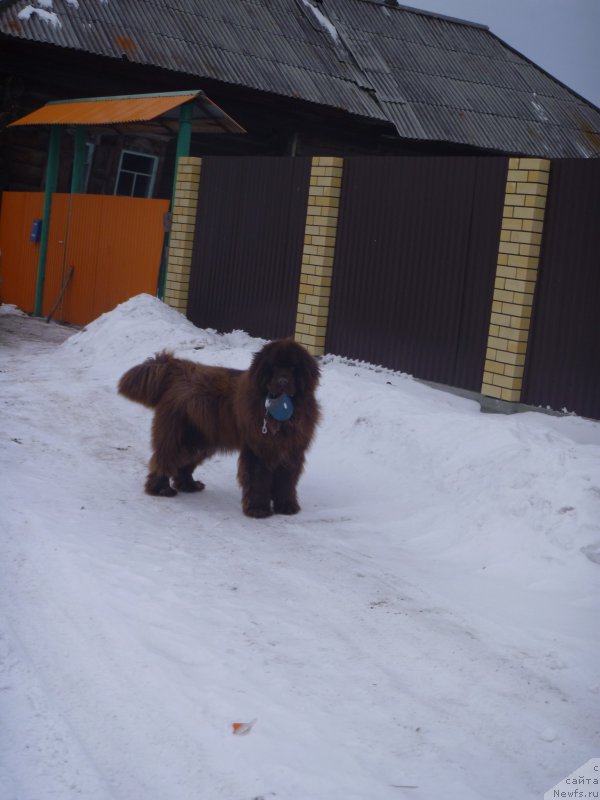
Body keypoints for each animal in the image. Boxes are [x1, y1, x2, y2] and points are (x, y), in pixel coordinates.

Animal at [119, 340, 322, 520]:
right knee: (165, 458)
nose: (283, 380)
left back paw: (188, 485)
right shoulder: (258, 450)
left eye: (293, 368)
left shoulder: (291, 451)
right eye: (274, 367)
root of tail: (178, 368)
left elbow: (286, 481)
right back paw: (160, 488)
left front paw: (286, 506)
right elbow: (258, 479)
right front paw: (258, 509)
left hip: (199, 440)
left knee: (184, 463)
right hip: (179, 436)